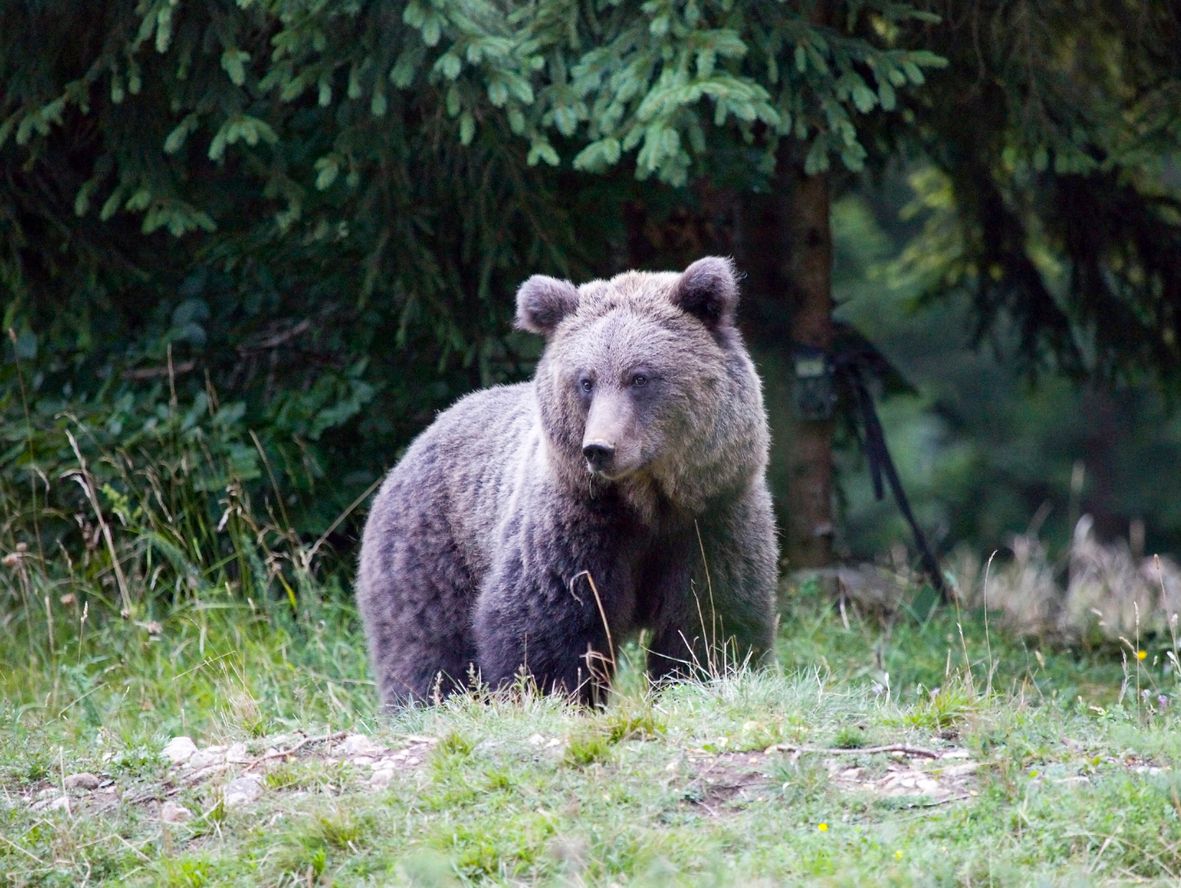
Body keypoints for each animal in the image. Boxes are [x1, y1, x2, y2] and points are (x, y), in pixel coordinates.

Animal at [356, 256, 778, 707]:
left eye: (640, 377)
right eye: (585, 380)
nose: (599, 448)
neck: (647, 502)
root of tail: (423, 435)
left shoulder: (711, 518)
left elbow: (709, 618)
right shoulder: (575, 525)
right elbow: (548, 625)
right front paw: (553, 695)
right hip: (433, 548)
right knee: (428, 646)